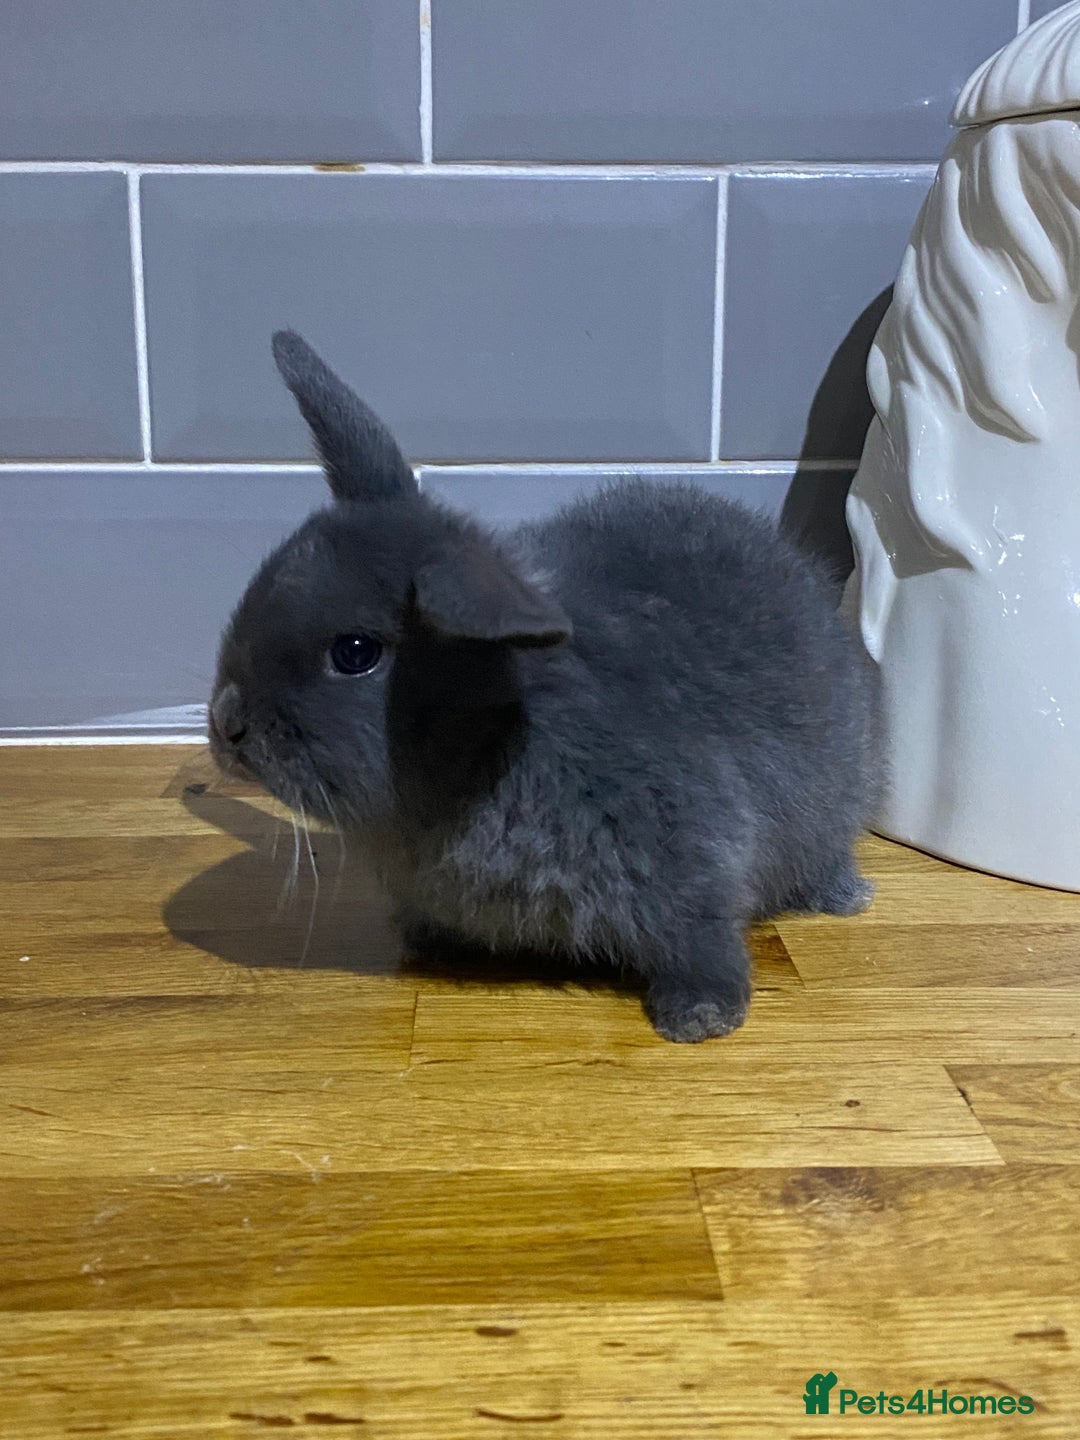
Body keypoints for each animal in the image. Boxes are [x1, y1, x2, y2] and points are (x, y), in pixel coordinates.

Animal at [210, 330, 880, 1042]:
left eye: (355, 653)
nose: (226, 723)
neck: (496, 741)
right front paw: (429, 940)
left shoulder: (692, 861)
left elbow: (701, 938)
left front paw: (700, 1018)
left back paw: (842, 897)